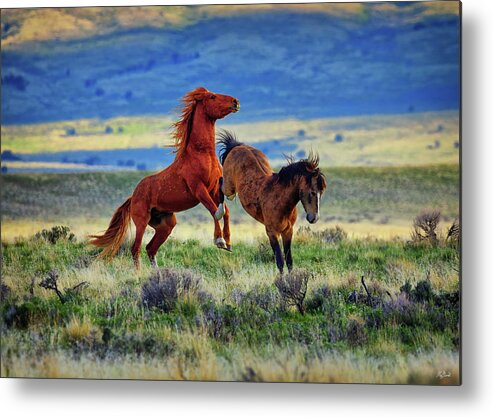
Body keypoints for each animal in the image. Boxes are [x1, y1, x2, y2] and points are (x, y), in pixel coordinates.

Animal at [92, 88, 240, 270]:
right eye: (212, 97)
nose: (235, 102)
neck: (201, 155)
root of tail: (133, 196)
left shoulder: (212, 189)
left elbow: (225, 212)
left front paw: (228, 243)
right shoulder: (198, 189)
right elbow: (216, 212)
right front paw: (219, 241)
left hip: (166, 225)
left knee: (150, 248)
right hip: (142, 221)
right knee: (136, 249)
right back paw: (139, 273)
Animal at [217, 130, 324, 272]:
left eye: (321, 192)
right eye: (312, 192)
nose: (314, 218)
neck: (279, 198)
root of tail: (237, 146)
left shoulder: (287, 231)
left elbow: (289, 260)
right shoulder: (272, 232)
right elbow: (279, 261)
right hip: (229, 188)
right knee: (220, 183)